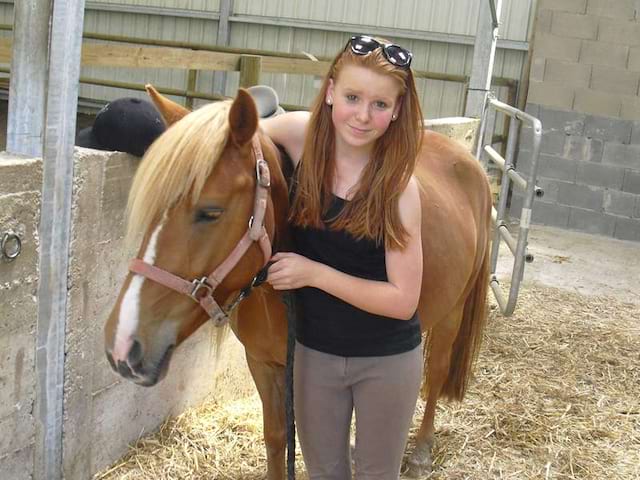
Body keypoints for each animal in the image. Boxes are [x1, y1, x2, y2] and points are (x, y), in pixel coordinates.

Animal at [104, 85, 490, 476]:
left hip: (452, 313)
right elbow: (277, 438)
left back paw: (422, 451)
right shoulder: (263, 364)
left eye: (210, 212)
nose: (122, 346)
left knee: (436, 372)